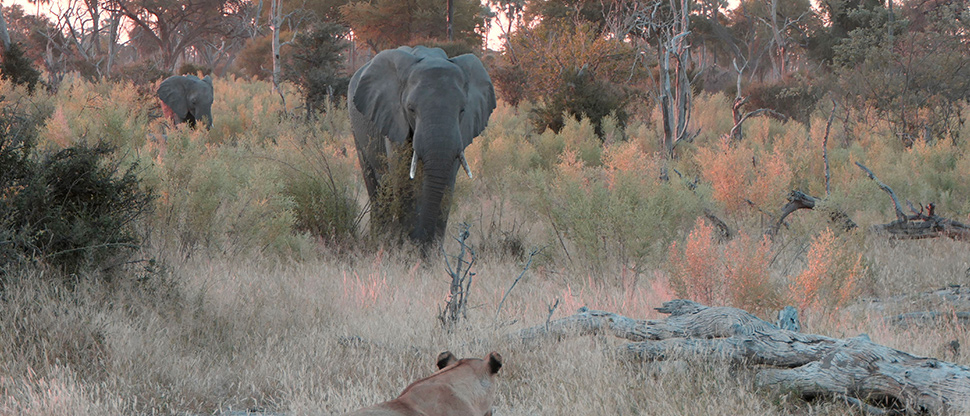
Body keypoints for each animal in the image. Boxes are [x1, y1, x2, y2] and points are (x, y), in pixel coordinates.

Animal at [349, 46, 496, 247]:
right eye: (411, 109)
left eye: (462, 110)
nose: (420, 240)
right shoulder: (395, 120)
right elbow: (404, 180)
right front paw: (407, 248)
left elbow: (448, 180)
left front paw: (430, 252)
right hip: (356, 129)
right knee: (376, 187)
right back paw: (380, 239)